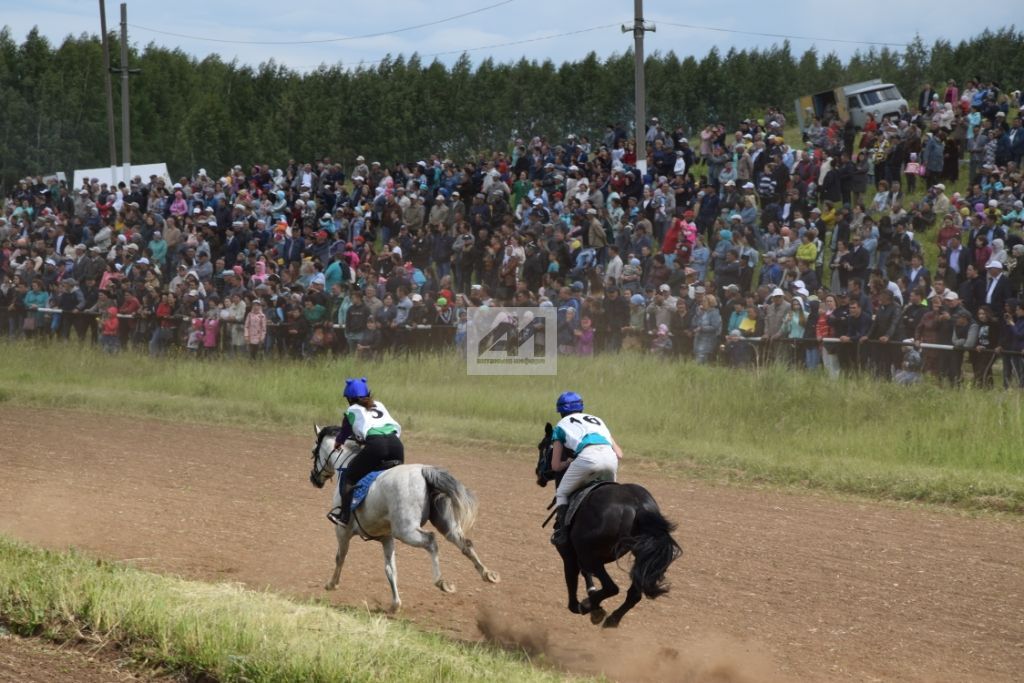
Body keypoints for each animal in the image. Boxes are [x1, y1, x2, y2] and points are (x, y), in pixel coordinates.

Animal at [307, 423, 499, 610]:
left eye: (314, 452)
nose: (313, 479)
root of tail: (423, 471)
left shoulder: (343, 530)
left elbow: (340, 556)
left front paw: (331, 584)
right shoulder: (387, 537)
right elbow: (390, 570)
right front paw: (395, 604)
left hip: (406, 531)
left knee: (431, 541)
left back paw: (441, 581)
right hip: (444, 523)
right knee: (464, 542)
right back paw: (488, 574)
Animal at [536, 423, 679, 626]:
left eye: (542, 446)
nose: (538, 474)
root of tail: (637, 505)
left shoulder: (569, 554)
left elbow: (573, 585)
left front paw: (587, 605)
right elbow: (587, 577)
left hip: (590, 555)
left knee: (612, 588)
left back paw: (590, 606)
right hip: (637, 554)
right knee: (634, 593)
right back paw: (612, 619)